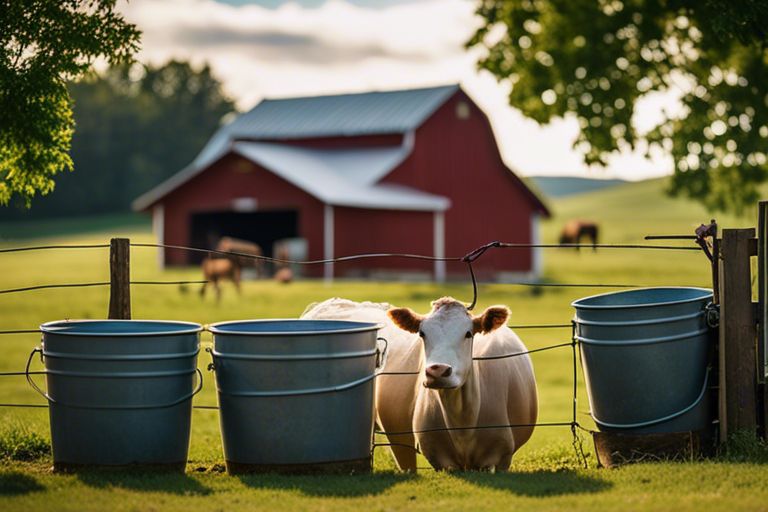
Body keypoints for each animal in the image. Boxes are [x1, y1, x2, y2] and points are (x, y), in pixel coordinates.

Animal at [298, 296, 536, 472]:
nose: (438, 370)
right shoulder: (439, 456)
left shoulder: (499, 458)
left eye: (468, 333)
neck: (463, 419)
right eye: (422, 333)